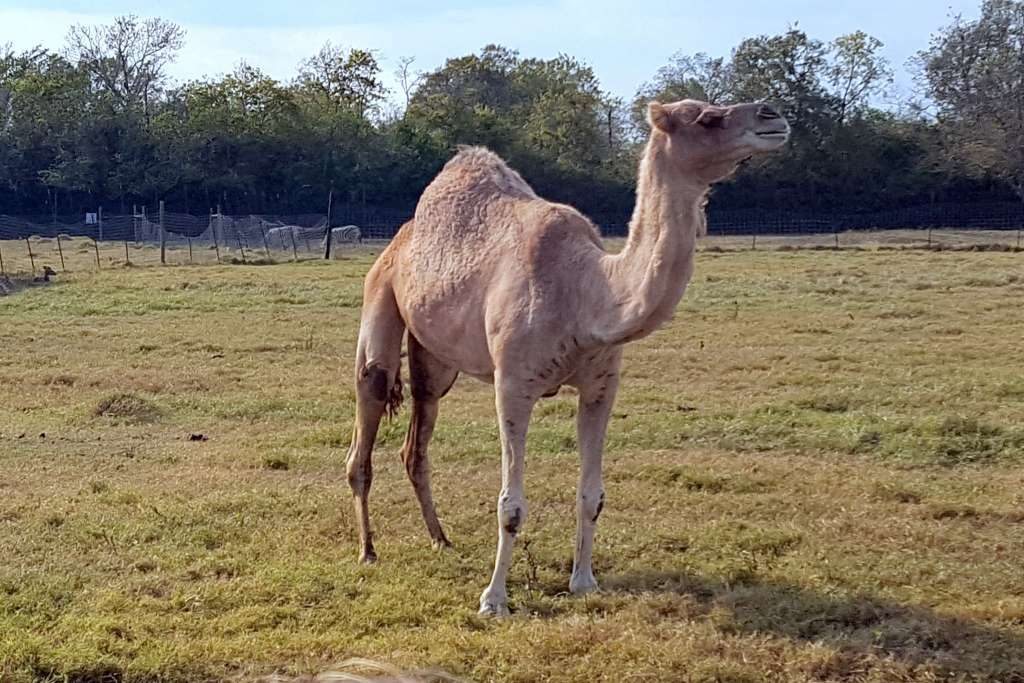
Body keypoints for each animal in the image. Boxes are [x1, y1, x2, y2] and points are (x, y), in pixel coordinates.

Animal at [345, 99, 789, 616]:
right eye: (706, 118)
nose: (772, 115)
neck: (588, 292)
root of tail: (400, 238)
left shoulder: (601, 386)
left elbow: (591, 494)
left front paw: (583, 581)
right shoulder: (513, 384)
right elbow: (511, 505)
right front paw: (494, 600)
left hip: (436, 359)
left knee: (416, 438)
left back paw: (441, 539)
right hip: (379, 296)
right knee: (368, 409)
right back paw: (368, 550)